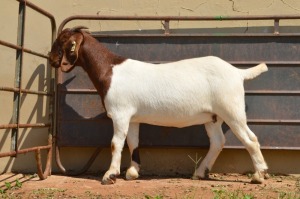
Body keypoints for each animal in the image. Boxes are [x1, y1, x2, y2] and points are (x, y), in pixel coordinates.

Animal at [49, 26, 270, 185]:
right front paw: (132, 172)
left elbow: (115, 143)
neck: (110, 70)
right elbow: (133, 142)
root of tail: (237, 72)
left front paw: (110, 175)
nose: (51, 60)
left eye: (61, 41)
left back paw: (259, 175)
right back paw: (200, 173)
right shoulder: (132, 117)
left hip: (232, 110)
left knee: (251, 140)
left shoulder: (120, 114)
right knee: (218, 141)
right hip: (213, 116)